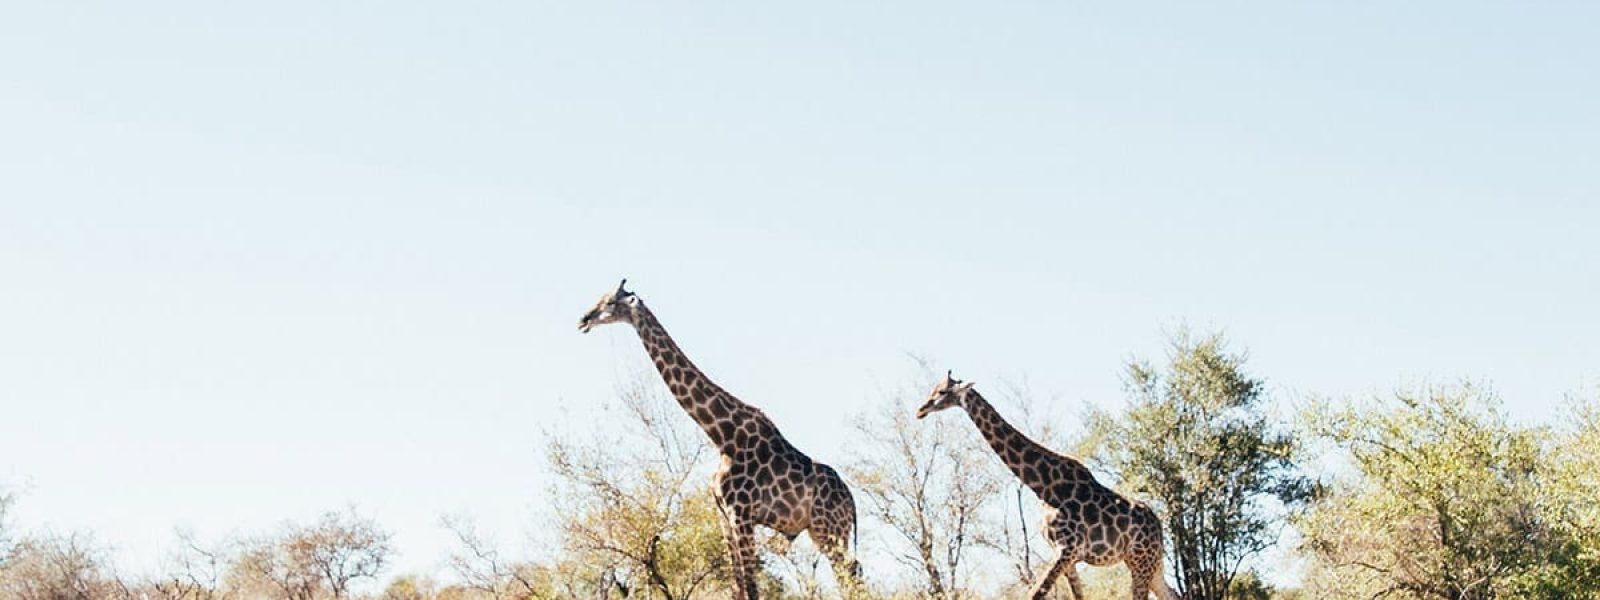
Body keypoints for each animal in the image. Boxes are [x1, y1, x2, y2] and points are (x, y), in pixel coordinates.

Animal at [582, 281, 864, 600]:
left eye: (610, 302)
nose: (584, 319)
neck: (722, 435)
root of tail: (851, 501)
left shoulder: (740, 512)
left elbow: (751, 587)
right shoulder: (724, 515)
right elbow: (737, 586)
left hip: (831, 528)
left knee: (851, 575)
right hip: (820, 530)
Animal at [915, 374, 1177, 598]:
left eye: (942, 391)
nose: (920, 409)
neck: (1043, 486)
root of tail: (1158, 526)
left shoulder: (1066, 549)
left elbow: (1035, 593)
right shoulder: (1067, 556)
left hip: (1141, 561)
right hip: (1150, 563)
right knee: (1172, 593)